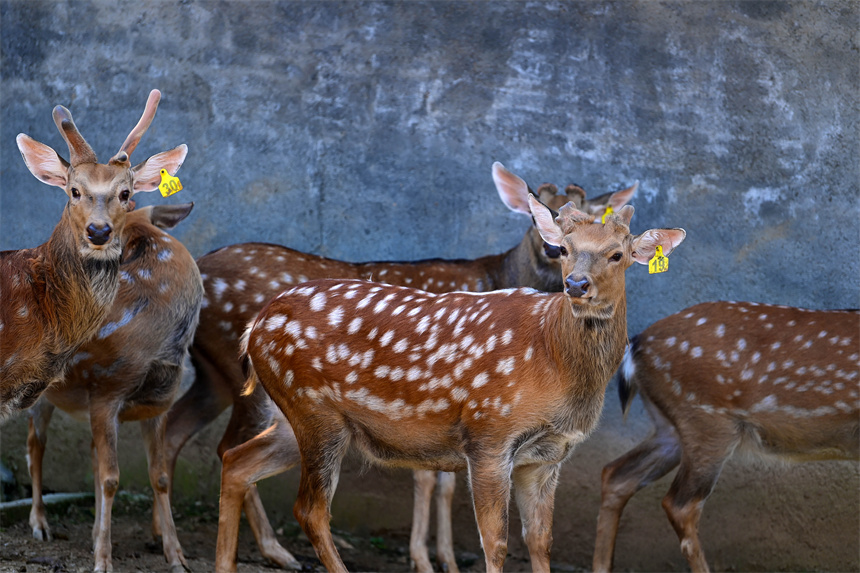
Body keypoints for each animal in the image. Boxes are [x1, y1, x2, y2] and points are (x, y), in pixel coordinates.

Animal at [25, 200, 203, 573]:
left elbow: (160, 476)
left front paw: (177, 557)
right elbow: (111, 479)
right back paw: (40, 525)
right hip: (41, 393)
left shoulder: (157, 406)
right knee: (36, 447)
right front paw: (103, 561)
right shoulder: (107, 391)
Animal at [163, 162, 636, 571]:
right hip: (298, 404)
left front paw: (440, 558)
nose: (559, 256)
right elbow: (447, 494)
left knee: (221, 452)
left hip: (260, 400)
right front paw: (430, 560)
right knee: (296, 499)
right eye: (540, 215)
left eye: (612, 242)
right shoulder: (474, 431)